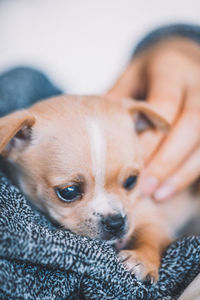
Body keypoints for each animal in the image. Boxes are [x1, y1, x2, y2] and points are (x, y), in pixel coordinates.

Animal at [0, 96, 200, 284]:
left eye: (131, 181)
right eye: (68, 192)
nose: (116, 223)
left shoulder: (151, 215)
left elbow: (151, 237)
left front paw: (142, 259)